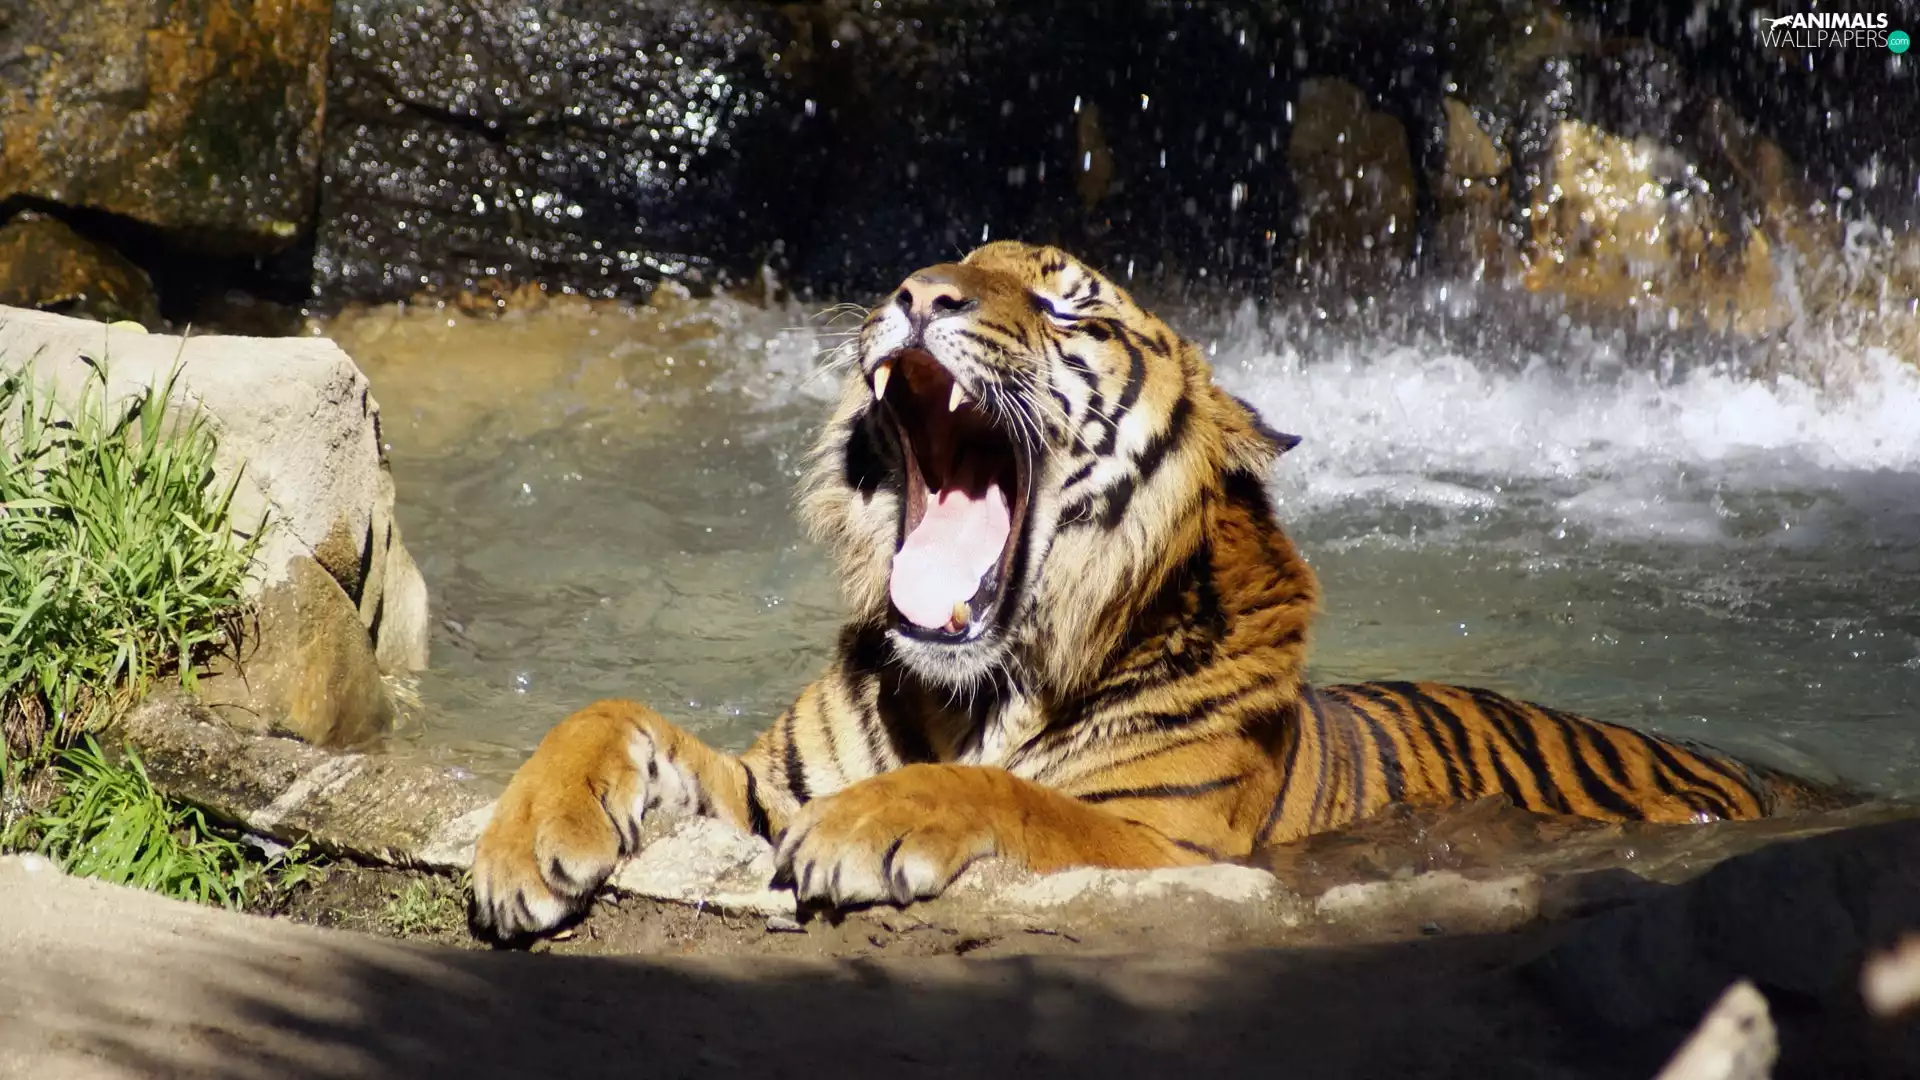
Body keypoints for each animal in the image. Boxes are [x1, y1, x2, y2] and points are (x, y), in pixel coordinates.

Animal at [468, 240, 1830, 940]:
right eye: (947, 261)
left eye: (1065, 300)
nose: (917, 294)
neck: (976, 690)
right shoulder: (766, 786)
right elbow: (605, 716)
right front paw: (524, 845)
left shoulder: (1169, 842)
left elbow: (1013, 797)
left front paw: (871, 830)